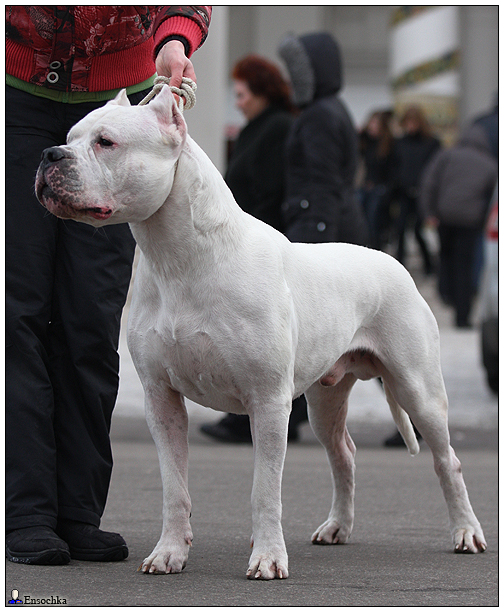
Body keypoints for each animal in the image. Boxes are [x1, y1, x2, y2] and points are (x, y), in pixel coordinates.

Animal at [34, 85, 484, 580]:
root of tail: (393, 262)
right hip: (326, 398)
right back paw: (338, 526)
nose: (49, 155)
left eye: (106, 142)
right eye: (70, 137)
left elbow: (264, 489)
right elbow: (175, 487)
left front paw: (267, 556)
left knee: (448, 461)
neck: (180, 259)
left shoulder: (268, 401)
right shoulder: (161, 399)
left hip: (418, 388)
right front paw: (169, 552)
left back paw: (466, 532)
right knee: (343, 453)